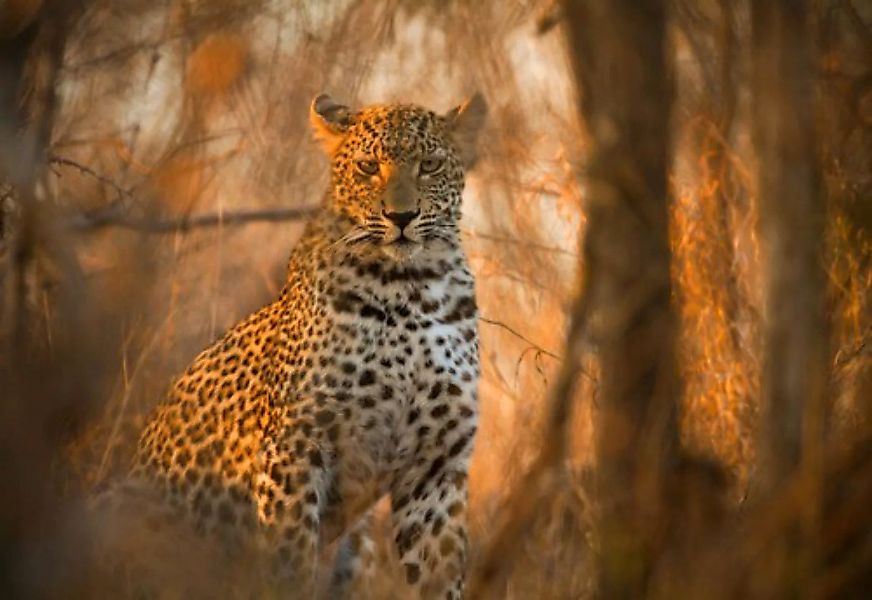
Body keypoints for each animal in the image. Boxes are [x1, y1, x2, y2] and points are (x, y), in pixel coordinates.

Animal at [123, 94, 490, 600]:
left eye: (430, 165)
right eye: (367, 167)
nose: (401, 218)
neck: (412, 289)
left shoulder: (436, 465)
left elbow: (440, 574)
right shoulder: (295, 446)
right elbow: (289, 562)